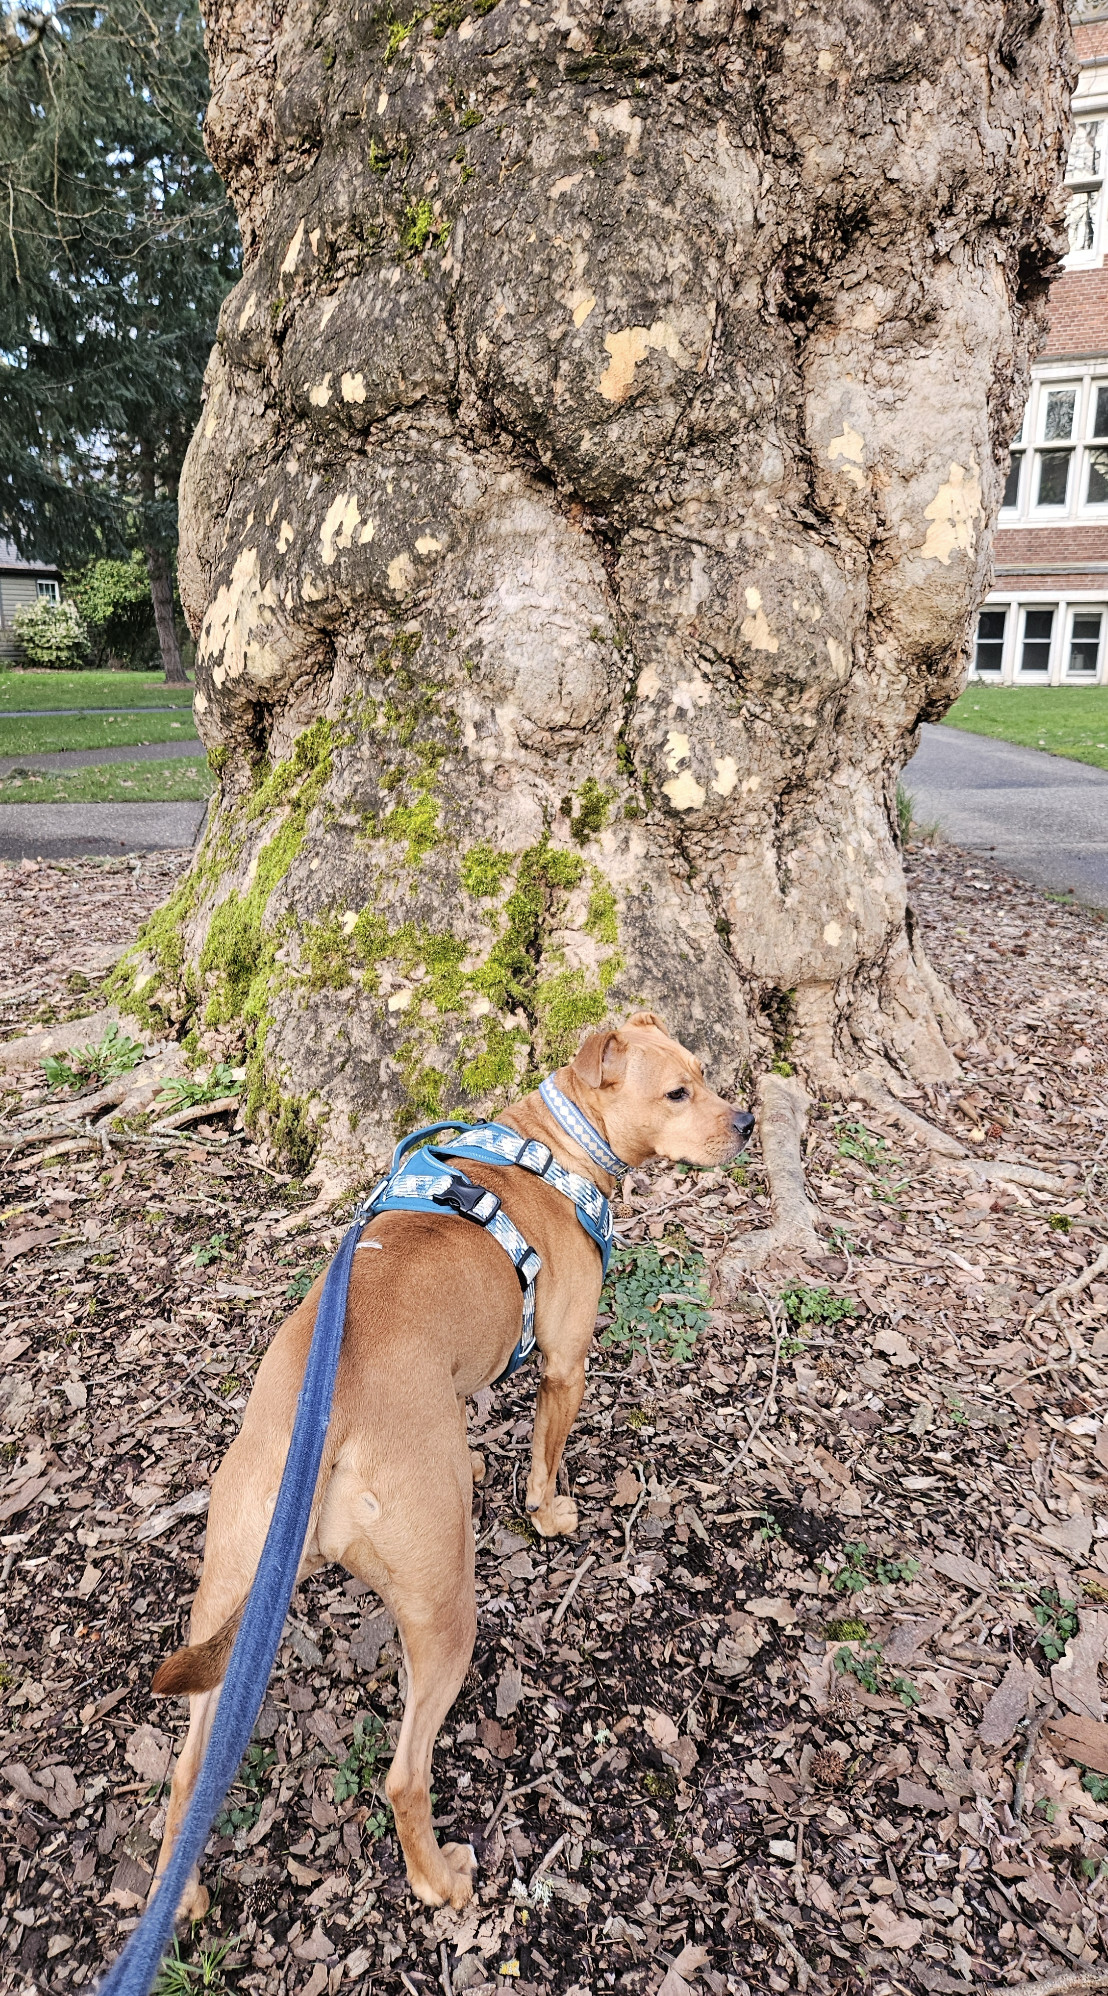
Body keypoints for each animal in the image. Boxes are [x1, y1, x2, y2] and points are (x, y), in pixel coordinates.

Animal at [149, 1021, 754, 1908]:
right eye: (678, 1092)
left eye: (707, 1075)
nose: (746, 1122)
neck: (552, 1145)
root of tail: (329, 1418)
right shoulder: (565, 1366)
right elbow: (545, 1457)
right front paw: (548, 1512)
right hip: (443, 1613)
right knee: (405, 1776)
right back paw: (440, 1880)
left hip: (229, 1592)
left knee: (190, 1770)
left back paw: (181, 1891)